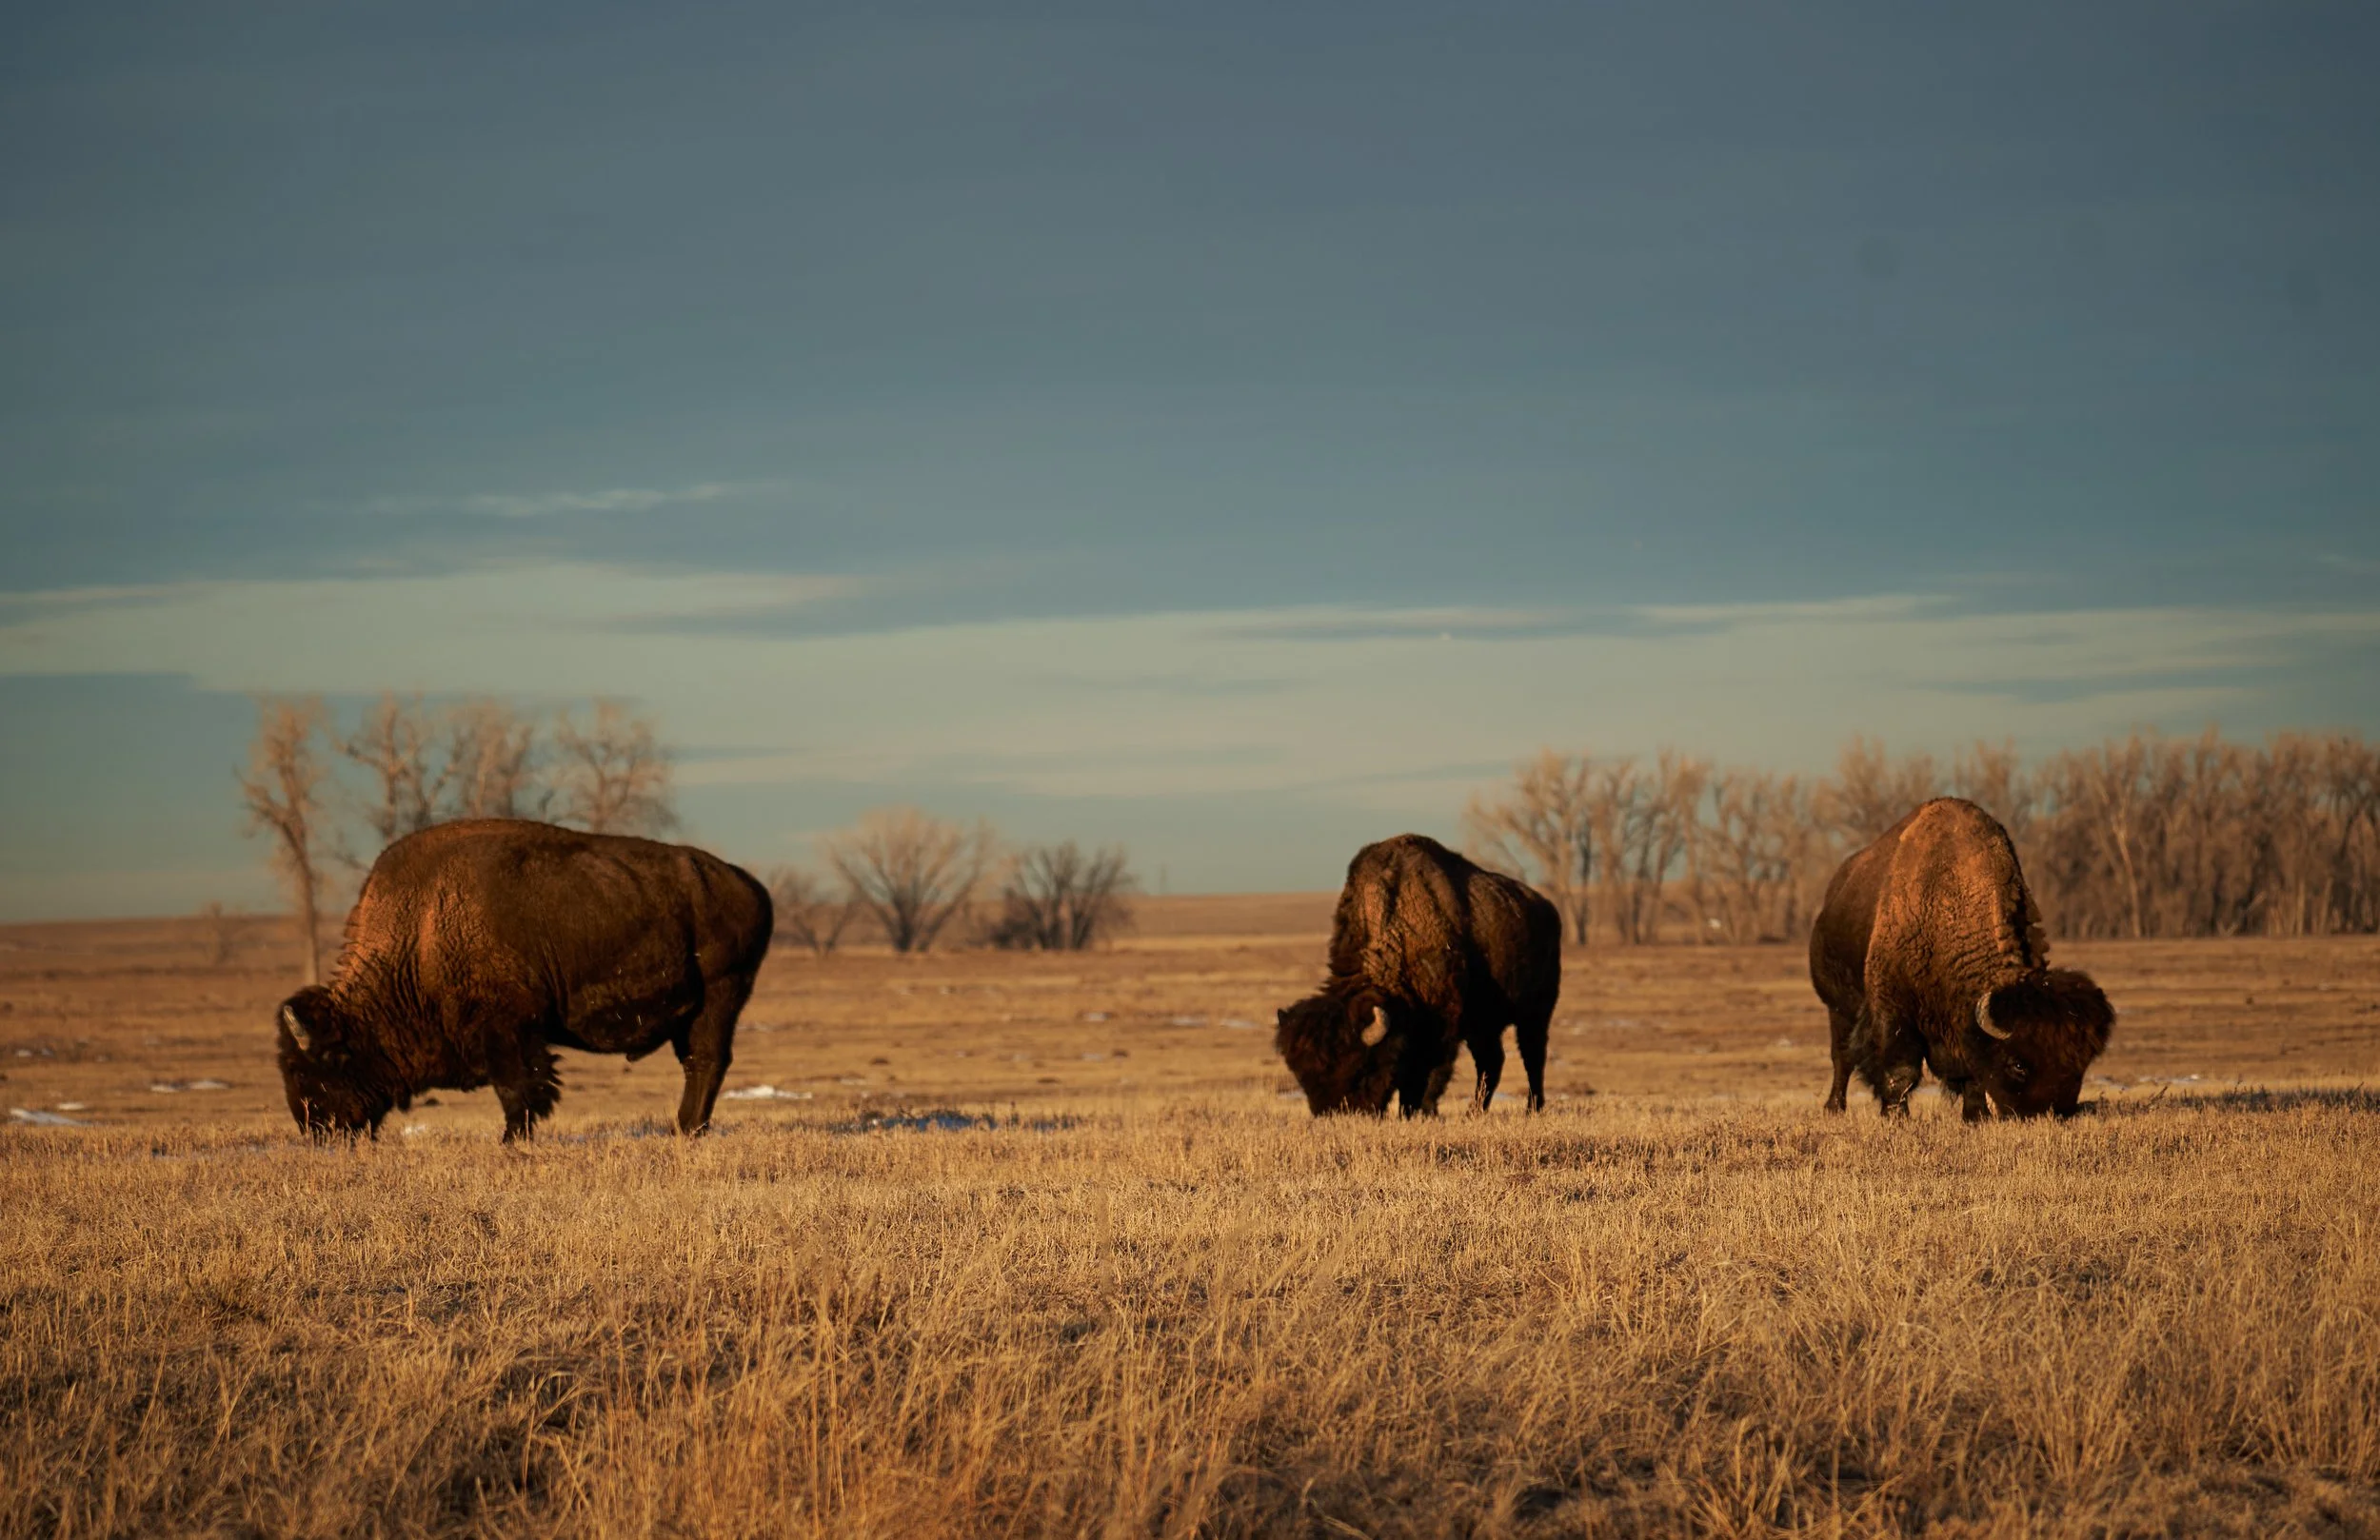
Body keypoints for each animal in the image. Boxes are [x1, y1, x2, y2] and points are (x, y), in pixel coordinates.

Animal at [275, 819, 773, 1140]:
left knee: (705, 1061)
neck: (422, 928)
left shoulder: (504, 1029)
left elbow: (516, 1086)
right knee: (697, 1062)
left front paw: (513, 1138)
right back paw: (684, 1128)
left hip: (720, 996)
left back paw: (687, 1129)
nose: (316, 1131)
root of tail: (748, 885)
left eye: (310, 1070)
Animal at [1275, 834, 1562, 1116]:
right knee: (1491, 1060)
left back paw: (1532, 1108)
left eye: (1360, 1069)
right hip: (1483, 1023)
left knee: (1533, 1056)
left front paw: (1423, 1110)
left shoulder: (1443, 1025)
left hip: (1534, 1014)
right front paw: (1409, 1111)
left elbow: (1432, 1072)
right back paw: (1474, 1111)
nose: (1335, 1114)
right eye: (1302, 1077)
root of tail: (1547, 908)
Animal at [1812, 797, 2113, 1120]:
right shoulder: (1892, 1007)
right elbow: (1899, 1070)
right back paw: (1834, 1107)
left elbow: (1972, 1073)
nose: (2048, 1114)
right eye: (2018, 1064)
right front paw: (1895, 1116)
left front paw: (1975, 1115)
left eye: (2081, 1066)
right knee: (1842, 1056)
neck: (1948, 905)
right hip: (1838, 1008)